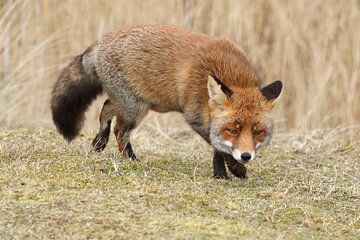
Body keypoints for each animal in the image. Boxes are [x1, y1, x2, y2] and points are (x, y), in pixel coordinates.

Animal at [50, 24, 282, 178]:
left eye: (258, 132)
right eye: (232, 130)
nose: (246, 156)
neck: (230, 72)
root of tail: (99, 43)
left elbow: (218, 147)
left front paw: (224, 171)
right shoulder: (195, 117)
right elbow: (219, 147)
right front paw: (230, 170)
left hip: (135, 104)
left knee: (106, 108)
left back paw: (99, 142)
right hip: (134, 109)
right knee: (119, 131)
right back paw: (131, 159)